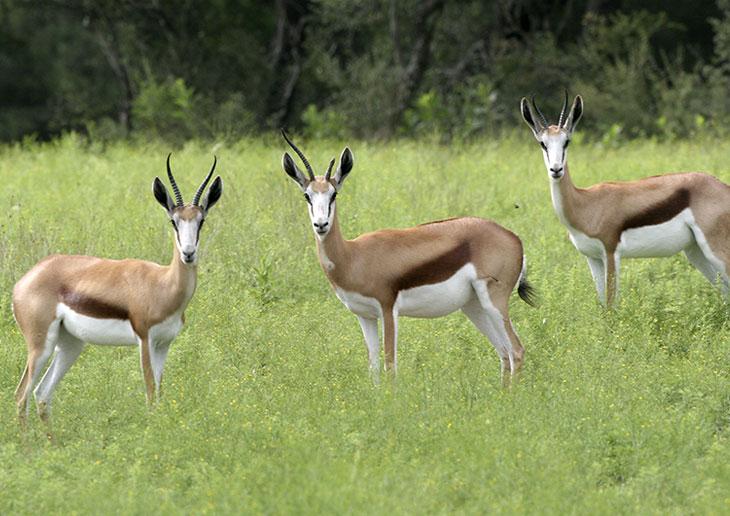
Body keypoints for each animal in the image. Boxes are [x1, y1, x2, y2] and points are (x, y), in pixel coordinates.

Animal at [13, 155, 222, 427]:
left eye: (201, 221)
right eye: (174, 221)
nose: (188, 253)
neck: (163, 285)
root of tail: (25, 280)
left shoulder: (164, 344)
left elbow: (160, 395)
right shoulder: (145, 341)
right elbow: (150, 397)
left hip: (70, 345)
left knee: (42, 394)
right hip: (41, 345)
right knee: (21, 396)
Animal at [281, 130, 536, 385]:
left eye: (333, 194)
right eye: (307, 195)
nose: (321, 224)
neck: (353, 256)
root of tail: (513, 237)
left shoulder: (387, 309)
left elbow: (390, 366)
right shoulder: (364, 315)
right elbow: (373, 367)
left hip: (495, 302)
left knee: (516, 350)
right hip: (474, 307)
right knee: (504, 353)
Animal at [521, 92, 730, 306]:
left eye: (567, 141)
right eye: (543, 143)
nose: (556, 170)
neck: (584, 204)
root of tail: (723, 187)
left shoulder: (611, 253)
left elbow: (611, 305)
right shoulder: (592, 258)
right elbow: (602, 304)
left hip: (716, 250)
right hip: (695, 251)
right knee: (724, 292)